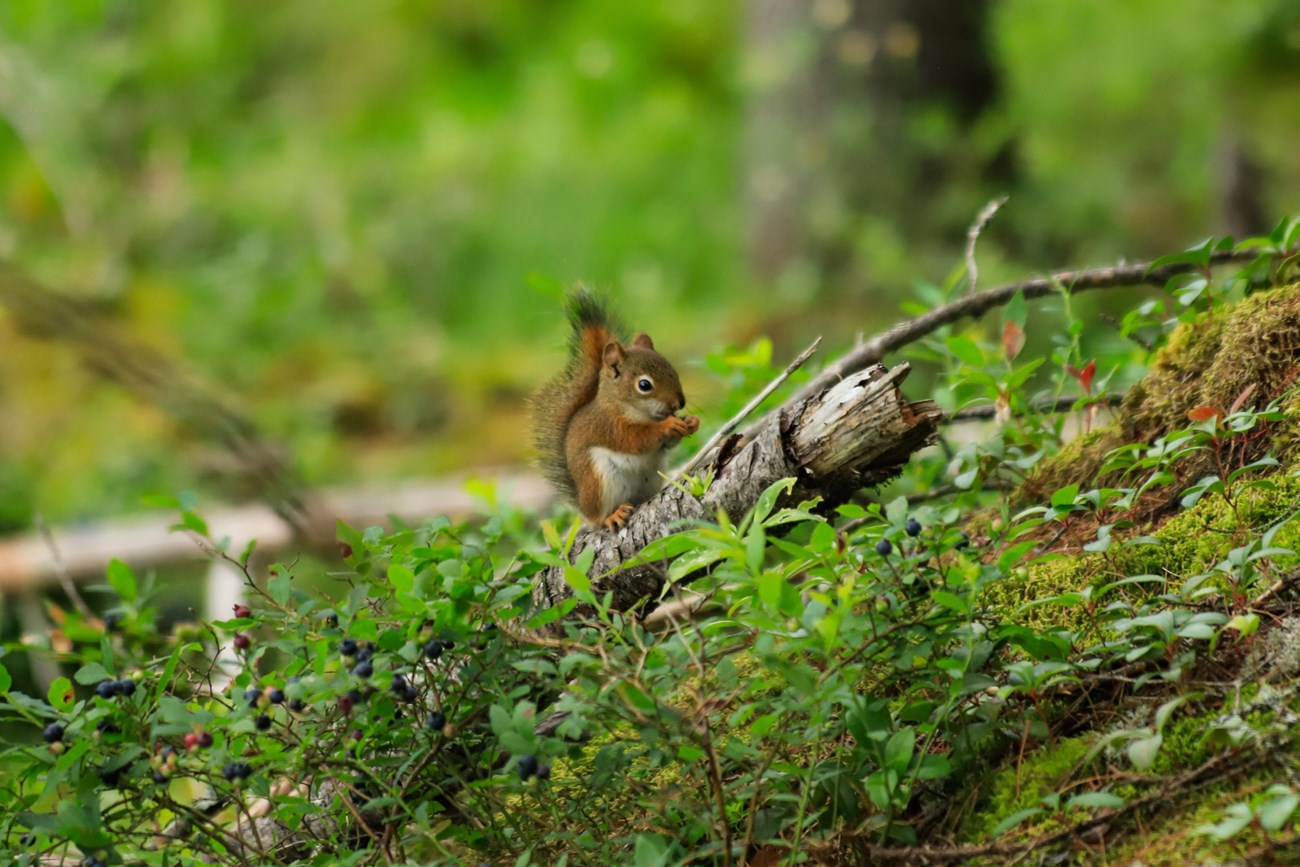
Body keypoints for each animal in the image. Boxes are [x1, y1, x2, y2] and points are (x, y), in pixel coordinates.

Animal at [530, 291, 702, 530]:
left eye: (673, 370)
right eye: (644, 385)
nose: (679, 404)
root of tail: (583, 506)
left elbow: (667, 444)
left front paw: (691, 421)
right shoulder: (609, 426)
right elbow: (636, 440)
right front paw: (669, 425)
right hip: (599, 482)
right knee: (599, 518)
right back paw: (612, 516)